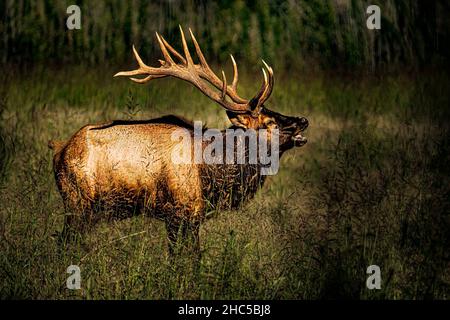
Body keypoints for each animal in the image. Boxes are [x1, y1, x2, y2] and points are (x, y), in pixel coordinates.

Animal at [49, 26, 310, 254]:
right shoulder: (183, 211)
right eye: (269, 122)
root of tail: (59, 149)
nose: (303, 120)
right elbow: (190, 257)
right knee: (63, 243)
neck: (212, 173)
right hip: (78, 201)